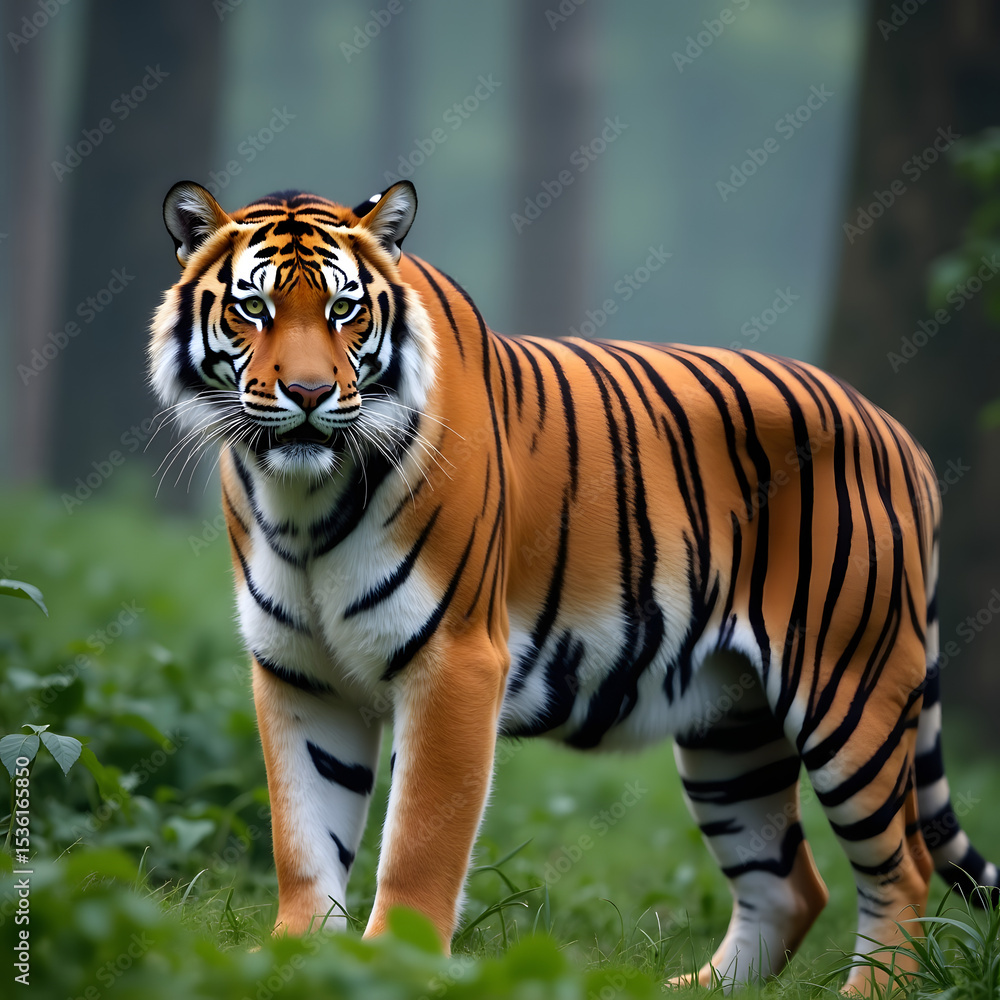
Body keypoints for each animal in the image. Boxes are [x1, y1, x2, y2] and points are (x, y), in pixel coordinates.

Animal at [149, 179, 997, 993]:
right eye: (254, 307)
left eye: (344, 309)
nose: (309, 394)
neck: (303, 502)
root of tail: (898, 435)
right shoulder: (299, 675)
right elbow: (303, 837)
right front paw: (292, 960)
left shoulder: (455, 661)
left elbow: (419, 844)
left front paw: (392, 966)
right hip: (733, 729)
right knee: (789, 885)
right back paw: (690, 990)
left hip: (848, 692)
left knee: (903, 870)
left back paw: (868, 992)